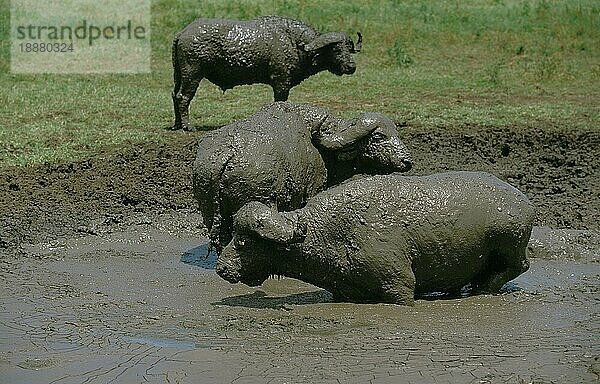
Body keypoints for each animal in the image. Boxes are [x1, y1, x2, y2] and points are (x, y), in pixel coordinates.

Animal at [171, 15, 364, 130]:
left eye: (349, 48)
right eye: (336, 50)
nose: (351, 66)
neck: (295, 43)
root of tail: (183, 33)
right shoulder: (281, 82)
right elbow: (280, 102)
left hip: (179, 75)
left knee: (174, 95)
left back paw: (177, 124)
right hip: (192, 74)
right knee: (183, 97)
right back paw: (187, 126)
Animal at [216, 172, 536, 306]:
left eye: (244, 242)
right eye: (234, 234)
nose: (221, 267)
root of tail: (524, 203)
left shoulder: (399, 287)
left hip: (509, 240)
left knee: (520, 266)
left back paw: (483, 287)